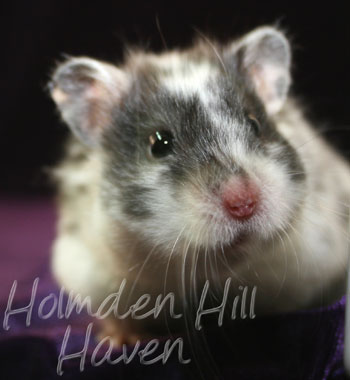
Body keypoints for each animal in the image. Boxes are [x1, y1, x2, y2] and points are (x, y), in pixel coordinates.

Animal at [48, 26, 350, 342]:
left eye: (255, 124)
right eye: (159, 143)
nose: (244, 203)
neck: (214, 278)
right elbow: (117, 317)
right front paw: (120, 340)